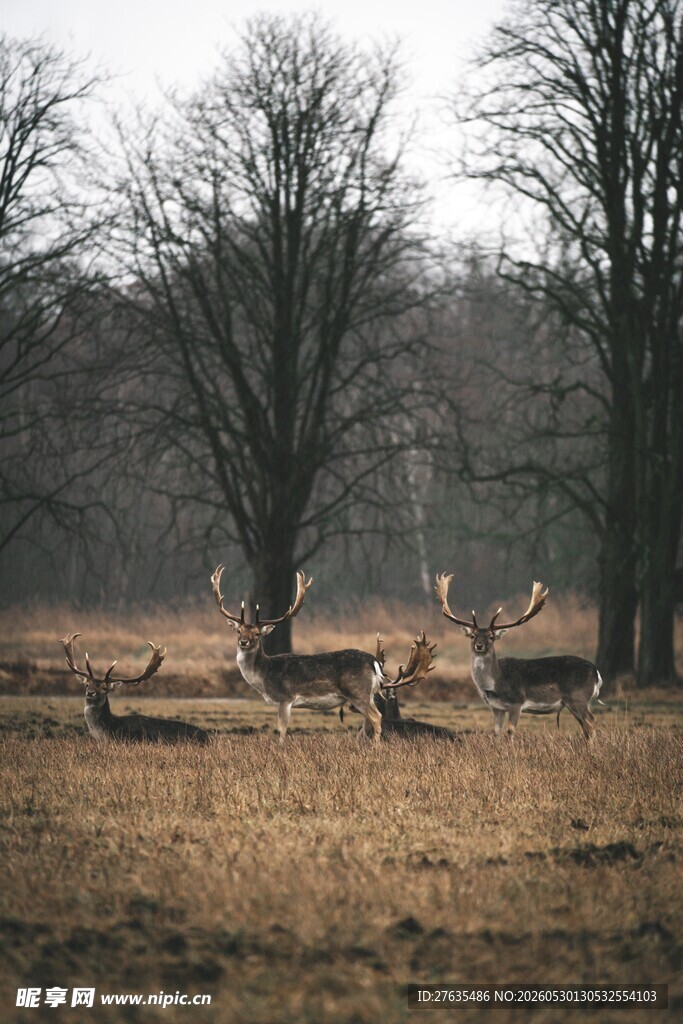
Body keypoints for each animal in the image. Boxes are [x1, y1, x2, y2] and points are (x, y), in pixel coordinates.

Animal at [211, 565, 435, 744]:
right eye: (239, 631)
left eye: (257, 634)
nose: (244, 642)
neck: (264, 676)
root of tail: (374, 661)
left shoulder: (285, 698)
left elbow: (282, 731)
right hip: (367, 694)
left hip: (358, 692)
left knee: (377, 717)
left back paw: (376, 747)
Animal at [434, 575, 604, 741]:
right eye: (473, 636)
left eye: (491, 637)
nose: (479, 646)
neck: (495, 682)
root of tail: (596, 672)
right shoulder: (496, 707)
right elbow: (497, 732)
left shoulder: (517, 702)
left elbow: (510, 732)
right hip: (576, 701)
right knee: (586, 727)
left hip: (578, 697)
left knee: (592, 722)